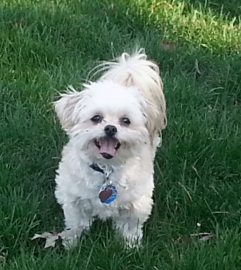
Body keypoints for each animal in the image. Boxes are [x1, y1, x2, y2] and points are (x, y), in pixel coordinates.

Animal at [54, 49, 167, 248]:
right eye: (96, 118)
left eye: (125, 121)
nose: (110, 128)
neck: (106, 169)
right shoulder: (73, 199)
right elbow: (77, 223)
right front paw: (72, 242)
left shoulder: (136, 204)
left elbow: (129, 227)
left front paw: (130, 246)